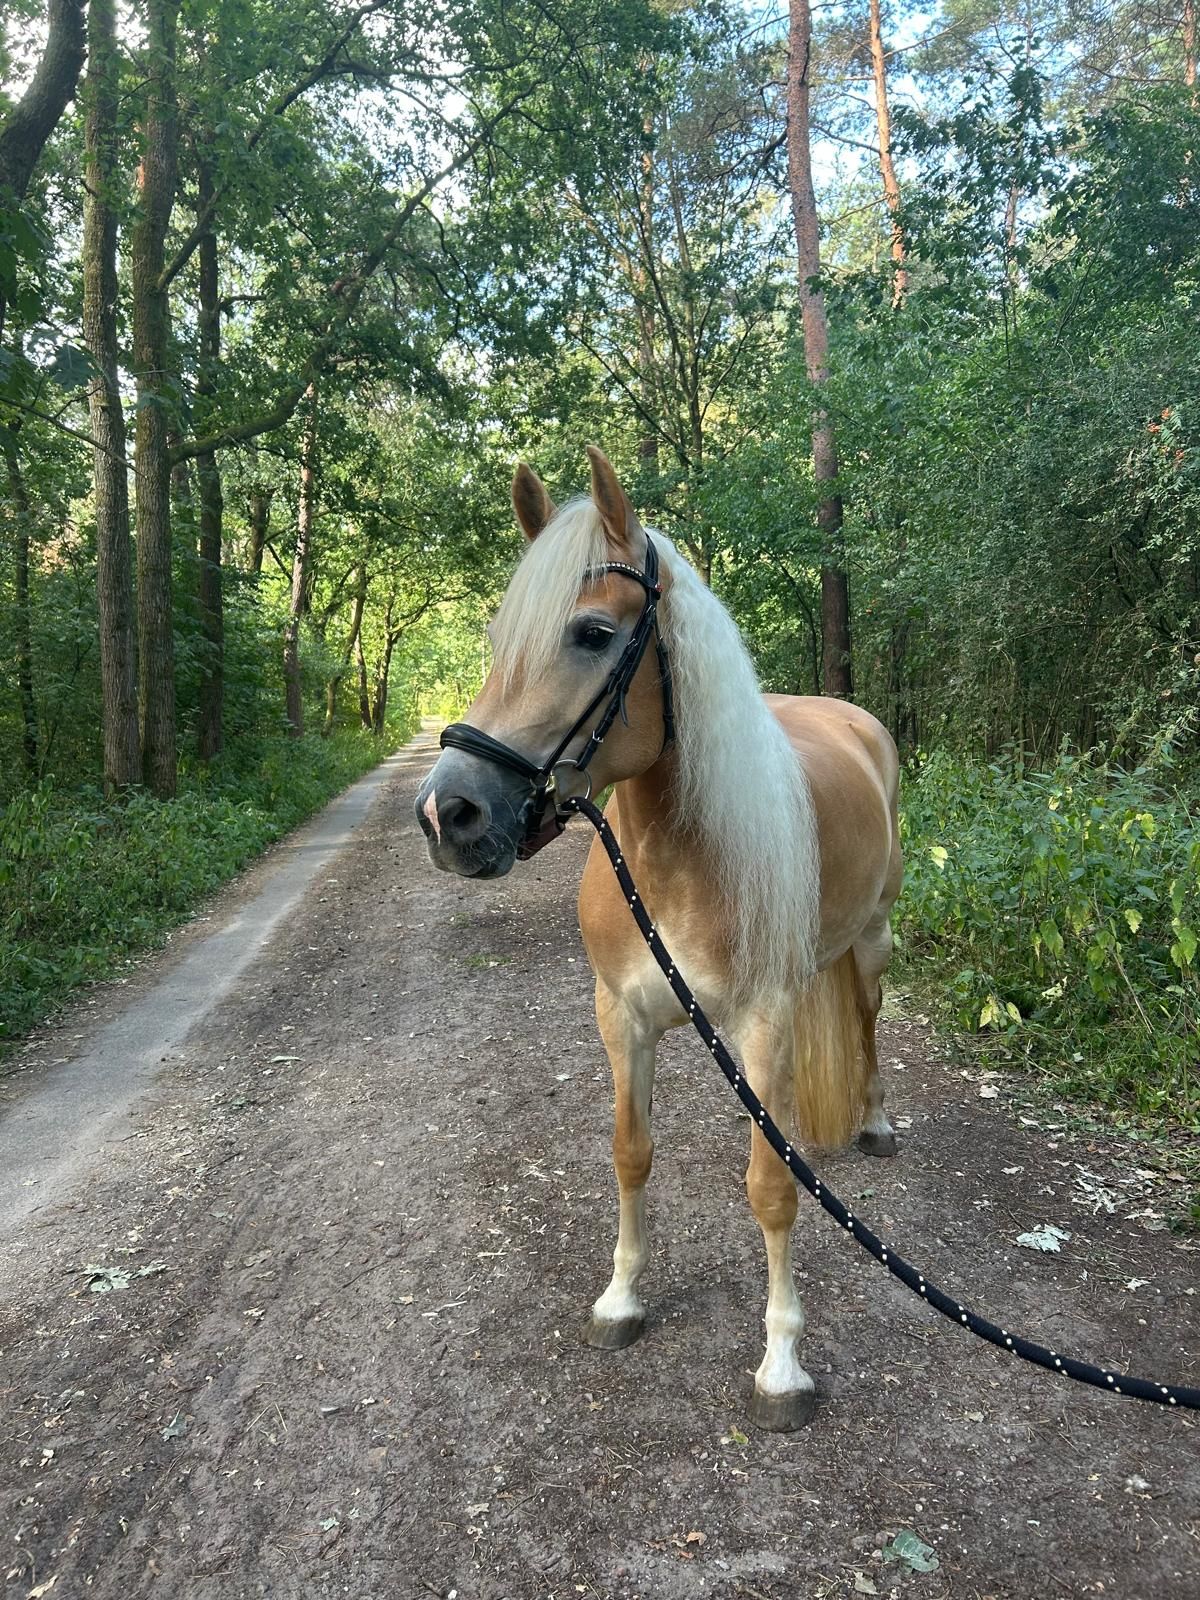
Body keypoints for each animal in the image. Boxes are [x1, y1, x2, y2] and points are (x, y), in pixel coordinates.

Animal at [415, 446, 902, 1430]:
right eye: (497, 639)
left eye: (593, 634)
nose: (448, 814)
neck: (683, 861)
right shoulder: (622, 1019)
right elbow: (630, 1154)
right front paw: (621, 1298)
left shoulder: (765, 1026)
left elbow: (772, 1189)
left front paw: (782, 1363)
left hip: (870, 945)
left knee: (868, 1028)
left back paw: (873, 1121)